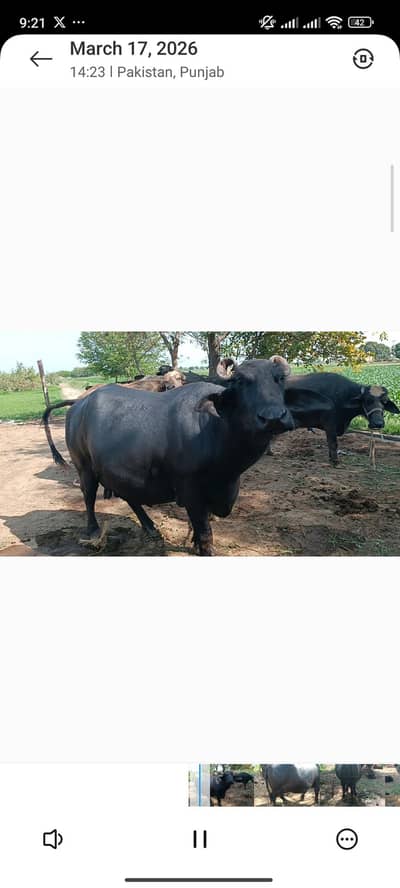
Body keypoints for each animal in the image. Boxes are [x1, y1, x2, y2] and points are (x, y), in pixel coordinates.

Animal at [42, 357, 293, 555]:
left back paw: (149, 526)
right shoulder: (190, 490)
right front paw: (205, 549)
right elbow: (204, 530)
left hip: (121, 469)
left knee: (129, 495)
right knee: (89, 496)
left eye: (279, 379)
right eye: (239, 381)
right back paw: (94, 531)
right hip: (83, 466)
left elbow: (198, 525)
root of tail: (79, 404)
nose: (273, 417)